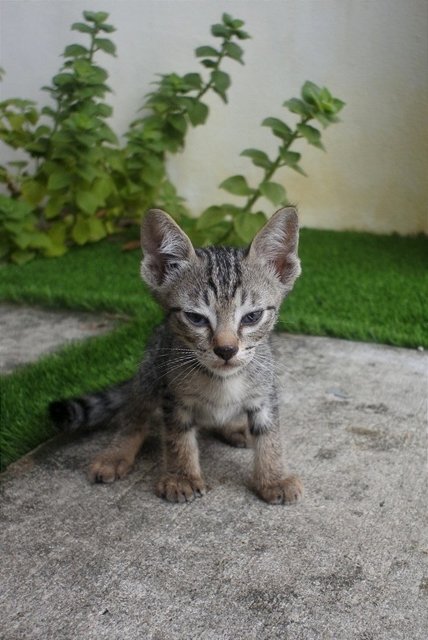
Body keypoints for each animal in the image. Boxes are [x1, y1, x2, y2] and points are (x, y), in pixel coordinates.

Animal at [50, 206, 302, 504]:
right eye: (196, 318)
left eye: (252, 317)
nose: (226, 350)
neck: (222, 381)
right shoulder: (174, 397)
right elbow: (177, 438)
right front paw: (182, 476)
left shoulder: (265, 393)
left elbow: (270, 436)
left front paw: (273, 477)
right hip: (149, 373)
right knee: (134, 415)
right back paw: (117, 453)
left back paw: (233, 427)